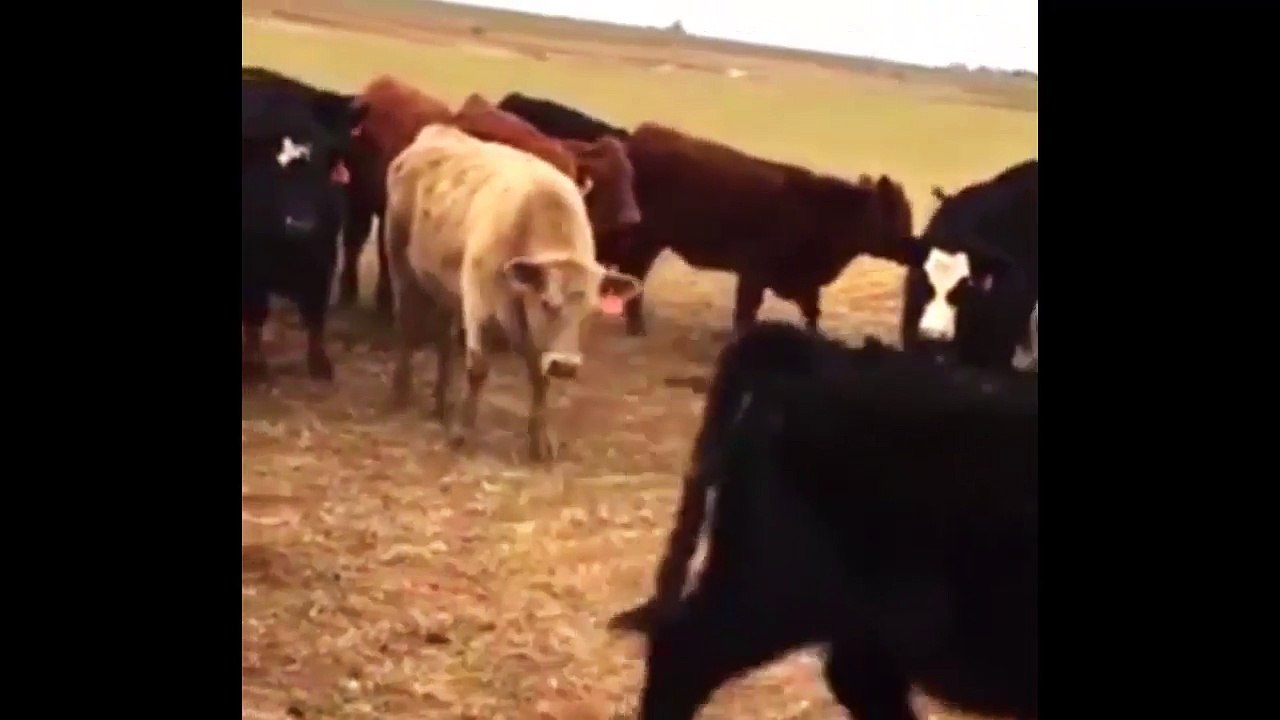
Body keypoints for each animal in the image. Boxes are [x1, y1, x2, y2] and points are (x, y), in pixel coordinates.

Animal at [242, 80, 368, 382]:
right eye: (268, 164)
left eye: (327, 161)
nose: (300, 225)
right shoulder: (251, 269)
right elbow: (255, 313)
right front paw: (254, 365)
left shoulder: (322, 257)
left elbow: (315, 314)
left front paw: (320, 363)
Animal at [382, 124, 643, 461]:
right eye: (547, 302)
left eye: (593, 312)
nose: (566, 366)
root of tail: (439, 131)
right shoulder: (478, 307)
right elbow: (478, 369)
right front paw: (462, 434)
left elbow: (541, 380)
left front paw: (540, 441)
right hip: (402, 269)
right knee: (408, 327)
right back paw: (400, 392)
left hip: (444, 289)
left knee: (443, 339)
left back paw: (441, 401)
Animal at [601, 123, 921, 337]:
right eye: (896, 213)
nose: (914, 249)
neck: (820, 209)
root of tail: (640, 135)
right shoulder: (755, 271)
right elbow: (746, 311)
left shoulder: (803, 282)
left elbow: (812, 313)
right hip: (645, 240)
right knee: (633, 274)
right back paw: (636, 327)